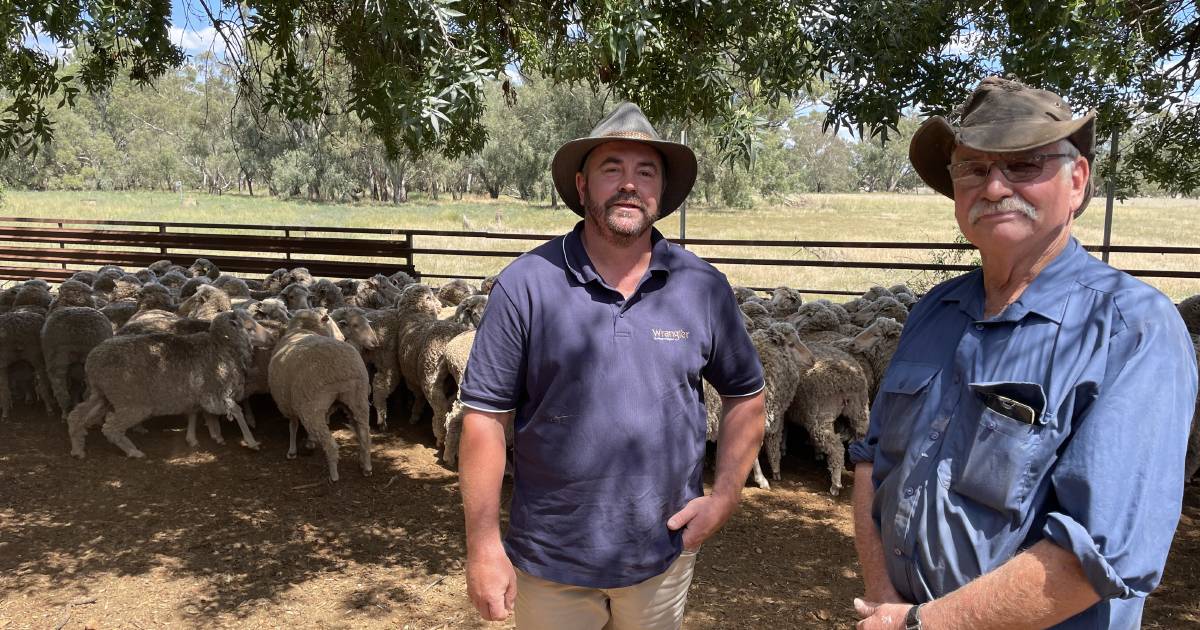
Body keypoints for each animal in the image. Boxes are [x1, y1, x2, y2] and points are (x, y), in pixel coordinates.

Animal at [68, 309, 272, 456]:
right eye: (249, 327)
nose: (271, 337)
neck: (221, 347)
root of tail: (93, 360)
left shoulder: (195, 392)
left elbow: (193, 412)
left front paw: (193, 438)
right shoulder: (213, 394)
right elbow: (236, 411)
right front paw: (250, 441)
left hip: (101, 394)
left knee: (77, 415)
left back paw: (77, 448)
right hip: (131, 402)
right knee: (111, 427)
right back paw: (133, 451)